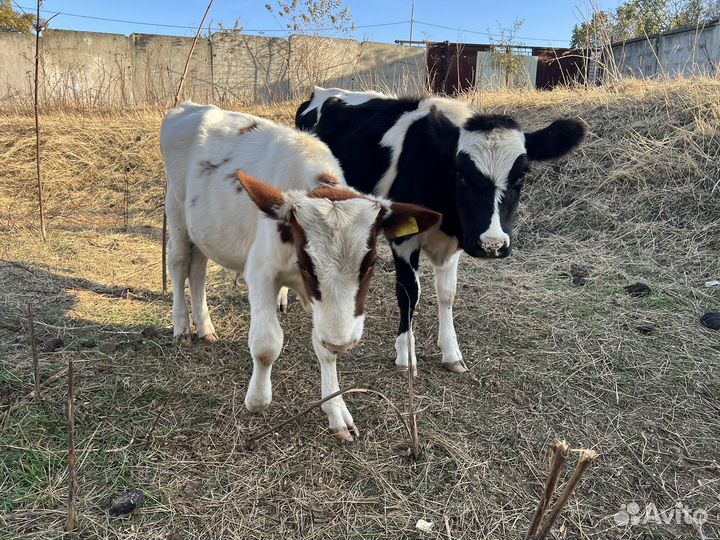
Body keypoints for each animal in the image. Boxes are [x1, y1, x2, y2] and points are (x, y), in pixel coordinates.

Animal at [161, 102, 441, 441]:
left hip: (202, 226)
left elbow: (324, 348)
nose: (343, 342)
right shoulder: (261, 272)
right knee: (179, 264)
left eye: (370, 262)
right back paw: (182, 326)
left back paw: (205, 326)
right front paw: (258, 399)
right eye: (306, 263)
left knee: (198, 269)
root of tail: (190, 107)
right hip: (176, 210)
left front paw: (335, 410)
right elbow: (266, 344)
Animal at [296, 87, 586, 375]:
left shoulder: (459, 240)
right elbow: (409, 293)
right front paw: (406, 355)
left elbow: (447, 294)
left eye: (522, 175)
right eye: (460, 174)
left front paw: (451, 352)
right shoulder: (405, 240)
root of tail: (322, 91)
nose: (492, 245)